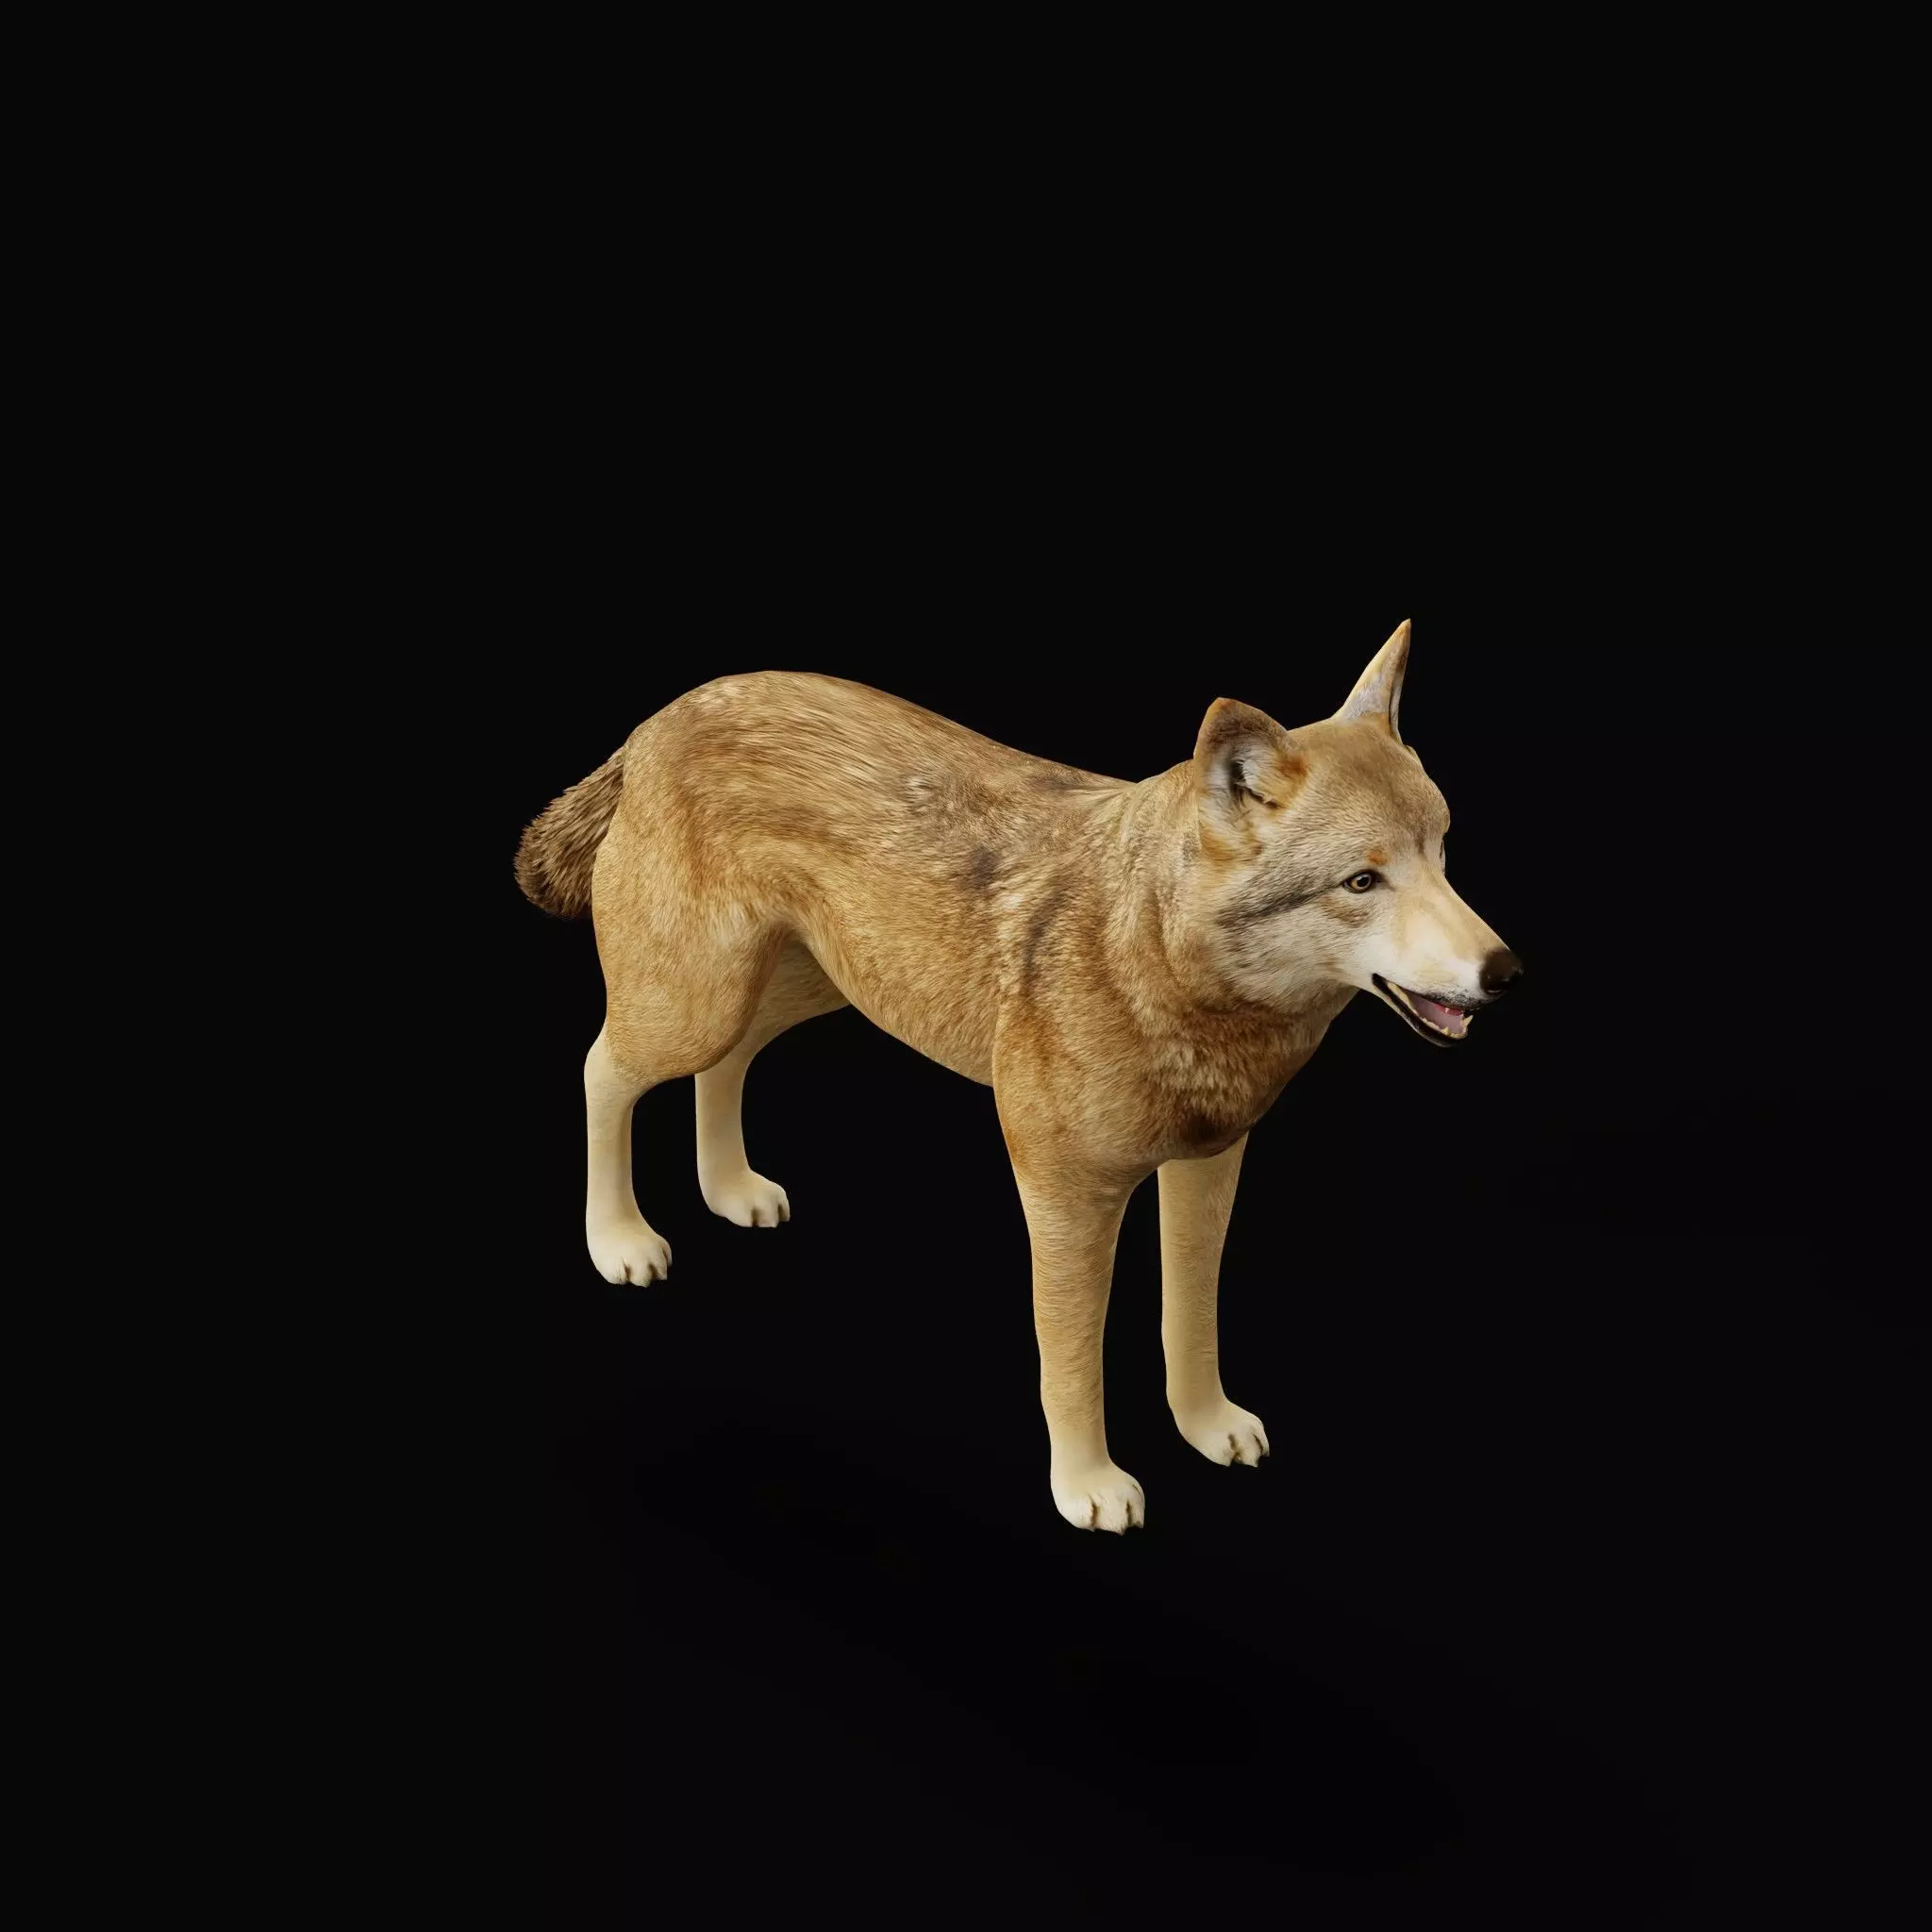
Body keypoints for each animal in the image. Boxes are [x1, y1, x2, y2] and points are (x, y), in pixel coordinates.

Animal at [517, 622, 1520, 1531]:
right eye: (1362, 882)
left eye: (1442, 853)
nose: (1506, 972)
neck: (1155, 958)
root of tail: (661, 717)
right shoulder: (1064, 1192)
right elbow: (1072, 1361)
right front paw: (1087, 1487)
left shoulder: (1208, 1164)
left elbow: (1190, 1317)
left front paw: (1206, 1426)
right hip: (692, 1003)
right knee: (600, 1068)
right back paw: (618, 1240)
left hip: (795, 991)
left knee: (724, 1065)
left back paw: (730, 1190)